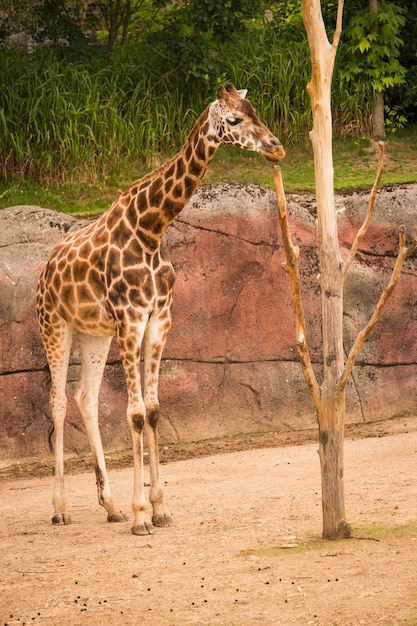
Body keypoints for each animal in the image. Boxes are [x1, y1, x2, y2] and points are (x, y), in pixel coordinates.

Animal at [35, 81, 284, 532]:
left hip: (94, 334)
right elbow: (134, 413)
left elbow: (151, 410)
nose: (277, 148)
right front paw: (141, 515)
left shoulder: (158, 320)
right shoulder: (131, 320)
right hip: (55, 326)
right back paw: (61, 508)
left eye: (256, 111)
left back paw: (110, 505)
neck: (151, 229)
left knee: (86, 398)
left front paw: (159, 507)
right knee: (58, 401)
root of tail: (44, 271)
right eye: (235, 118)